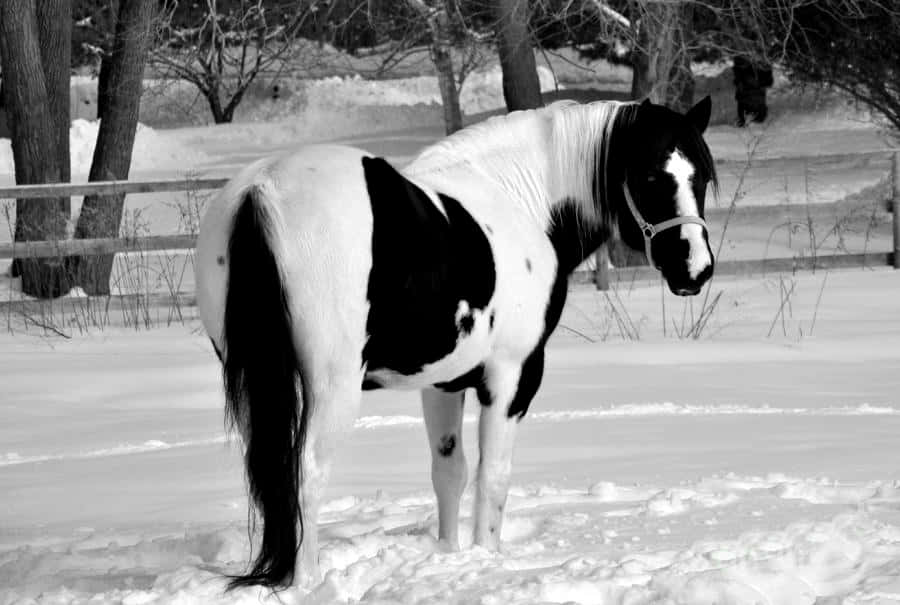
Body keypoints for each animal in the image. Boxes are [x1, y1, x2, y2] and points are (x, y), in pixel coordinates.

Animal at [195, 96, 718, 589]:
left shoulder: (442, 383)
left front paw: (448, 554)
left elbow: (450, 471)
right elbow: (493, 476)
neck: (519, 202)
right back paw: (305, 581)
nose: (695, 268)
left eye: (702, 178)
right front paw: (486, 558)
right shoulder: (513, 376)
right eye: (649, 176)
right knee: (304, 475)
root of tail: (263, 191)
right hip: (331, 387)